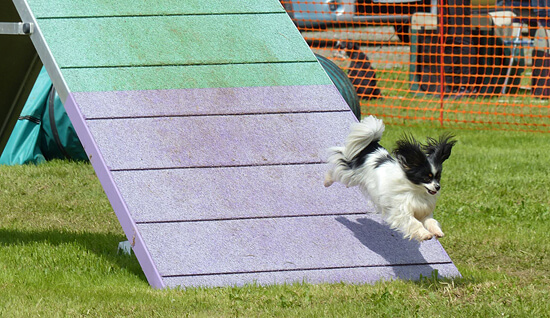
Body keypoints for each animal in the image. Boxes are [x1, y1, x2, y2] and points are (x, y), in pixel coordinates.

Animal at [328, 116, 458, 241]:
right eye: (427, 178)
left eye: (438, 177)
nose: (437, 187)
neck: (416, 191)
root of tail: (372, 147)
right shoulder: (401, 211)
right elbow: (415, 223)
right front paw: (425, 234)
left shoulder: (423, 212)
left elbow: (431, 221)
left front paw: (437, 232)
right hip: (350, 174)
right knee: (337, 167)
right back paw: (327, 182)